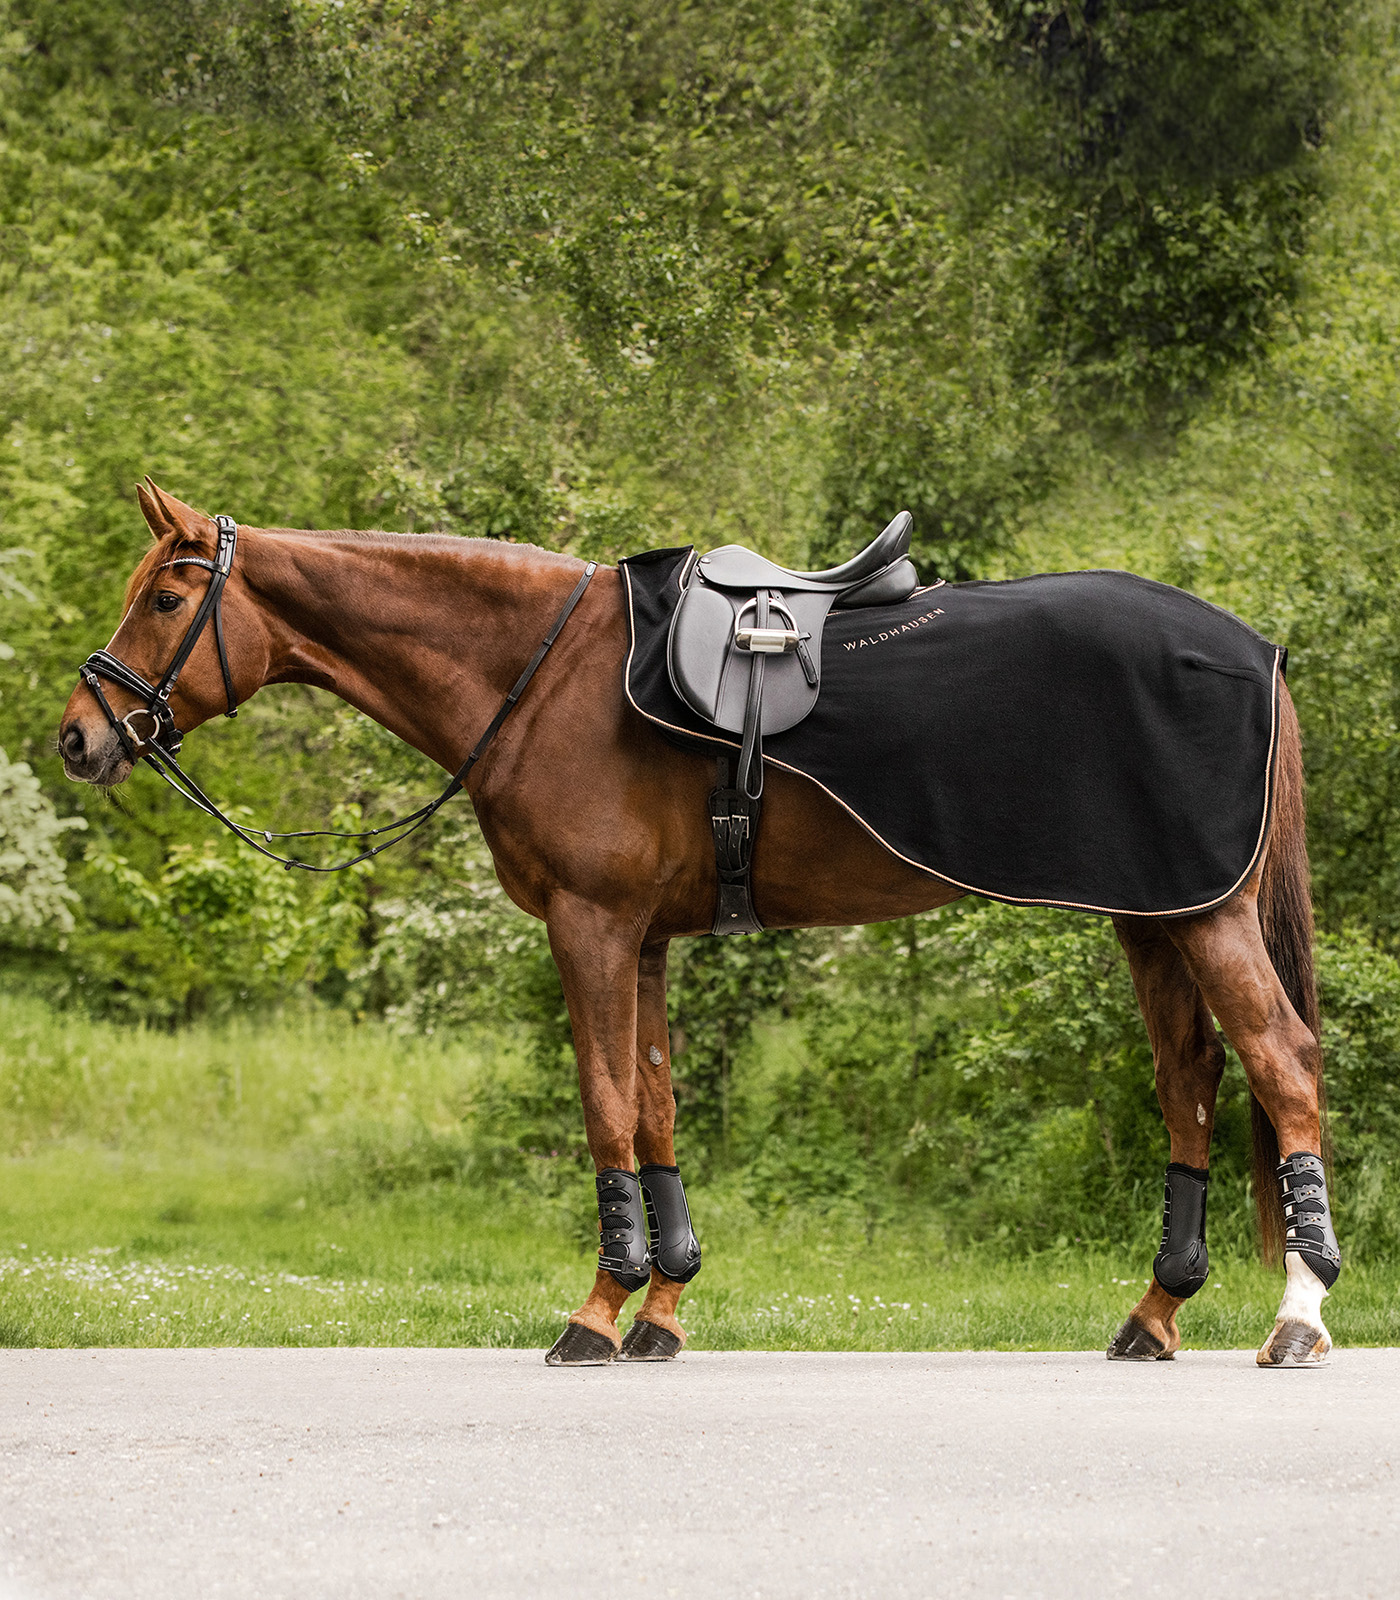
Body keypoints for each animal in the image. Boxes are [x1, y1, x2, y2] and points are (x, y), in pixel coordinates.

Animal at [60, 483, 1344, 1363]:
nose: (80, 734)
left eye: (166, 596)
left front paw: (595, 1309)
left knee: (1279, 1062)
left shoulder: (587, 925)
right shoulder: (644, 938)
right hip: (1154, 916)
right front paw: (664, 1305)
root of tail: (1254, 647)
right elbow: (657, 1102)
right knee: (1190, 1079)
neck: (546, 677)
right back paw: (1155, 1311)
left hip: (1207, 916)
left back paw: (1296, 1315)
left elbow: (603, 1103)